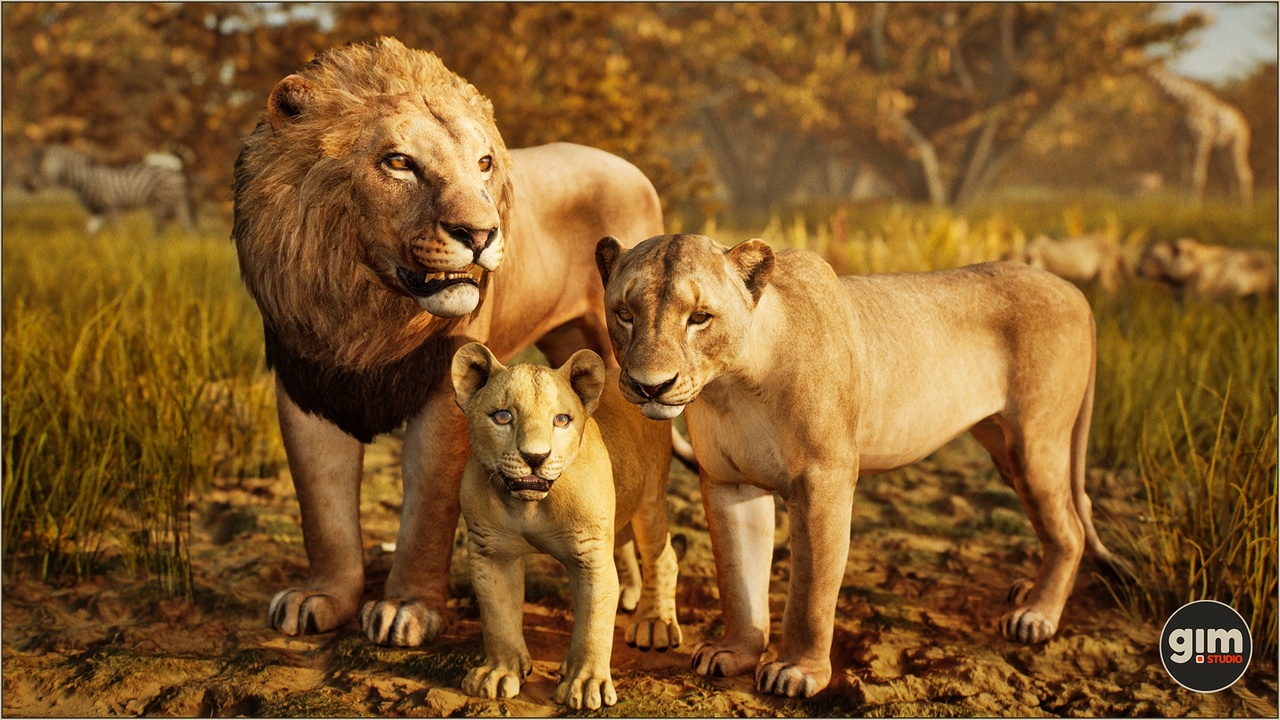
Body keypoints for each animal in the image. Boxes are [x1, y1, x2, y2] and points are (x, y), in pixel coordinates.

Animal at [232, 37, 665, 646]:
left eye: (483, 164)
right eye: (398, 162)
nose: (481, 234)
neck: (365, 307)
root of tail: (630, 168)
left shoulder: (445, 395)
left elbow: (428, 512)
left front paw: (407, 609)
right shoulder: (306, 383)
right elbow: (321, 509)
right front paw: (320, 598)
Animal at [451, 343, 682, 709]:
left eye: (561, 420)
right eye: (503, 416)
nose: (535, 457)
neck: (530, 506)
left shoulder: (591, 557)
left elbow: (593, 623)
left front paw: (585, 685)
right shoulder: (490, 553)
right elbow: (498, 616)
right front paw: (499, 673)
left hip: (650, 499)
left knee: (664, 556)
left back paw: (655, 623)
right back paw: (630, 594)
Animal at [595, 234, 1132, 698]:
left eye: (700, 317)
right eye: (624, 314)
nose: (649, 386)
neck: (733, 386)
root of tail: (1074, 292)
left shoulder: (824, 482)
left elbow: (811, 589)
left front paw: (797, 672)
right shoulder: (729, 485)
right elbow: (737, 578)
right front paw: (735, 653)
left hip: (1034, 442)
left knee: (1070, 530)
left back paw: (1035, 616)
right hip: (1004, 449)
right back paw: (1026, 593)